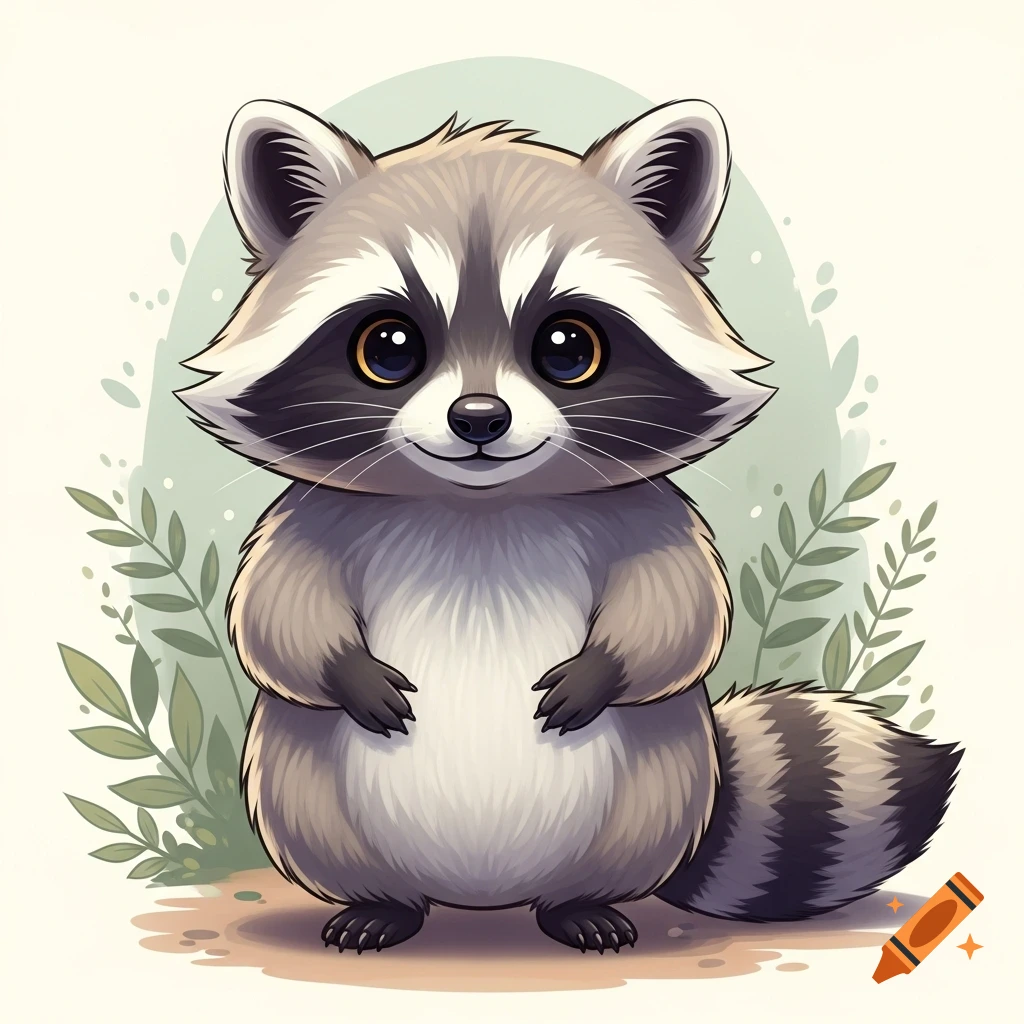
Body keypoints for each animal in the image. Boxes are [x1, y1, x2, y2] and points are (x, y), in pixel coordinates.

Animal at [177, 97, 961, 953]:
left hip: (664, 785)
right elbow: (277, 612)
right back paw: (381, 903)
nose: (478, 418)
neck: (480, 505)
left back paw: (579, 904)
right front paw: (341, 668)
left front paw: (608, 668)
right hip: (300, 788)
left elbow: (680, 610)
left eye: (566, 345)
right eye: (389, 346)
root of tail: (481, 901)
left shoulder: (645, 511)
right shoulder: (316, 513)